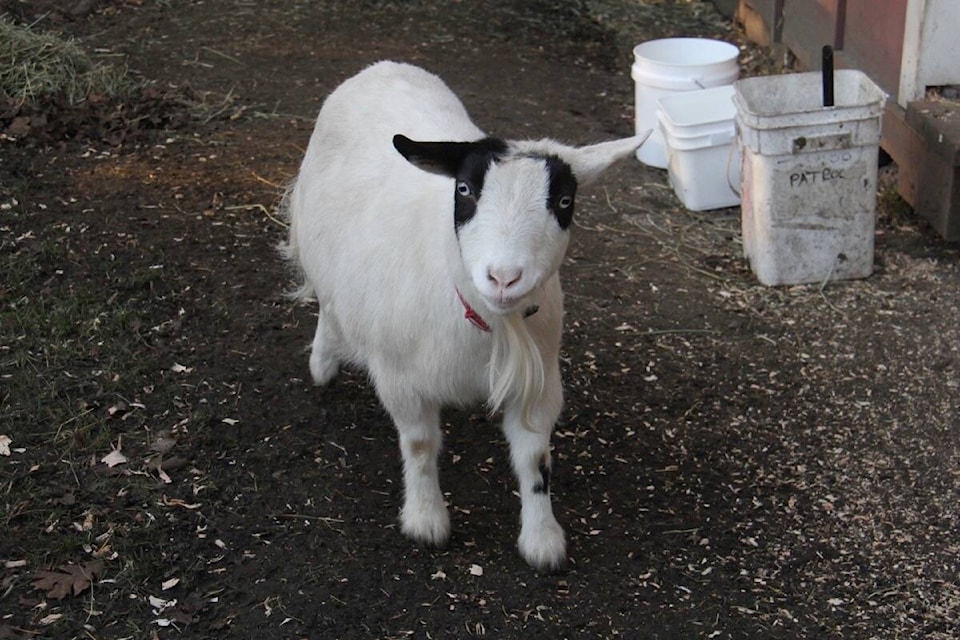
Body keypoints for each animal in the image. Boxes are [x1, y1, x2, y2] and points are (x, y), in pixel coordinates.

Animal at [282, 61, 648, 568]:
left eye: (564, 201)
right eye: (464, 188)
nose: (503, 277)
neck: (485, 323)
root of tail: (384, 66)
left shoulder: (539, 384)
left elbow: (535, 461)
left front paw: (542, 539)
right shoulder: (401, 377)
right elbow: (419, 446)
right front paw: (426, 520)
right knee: (328, 301)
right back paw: (322, 363)